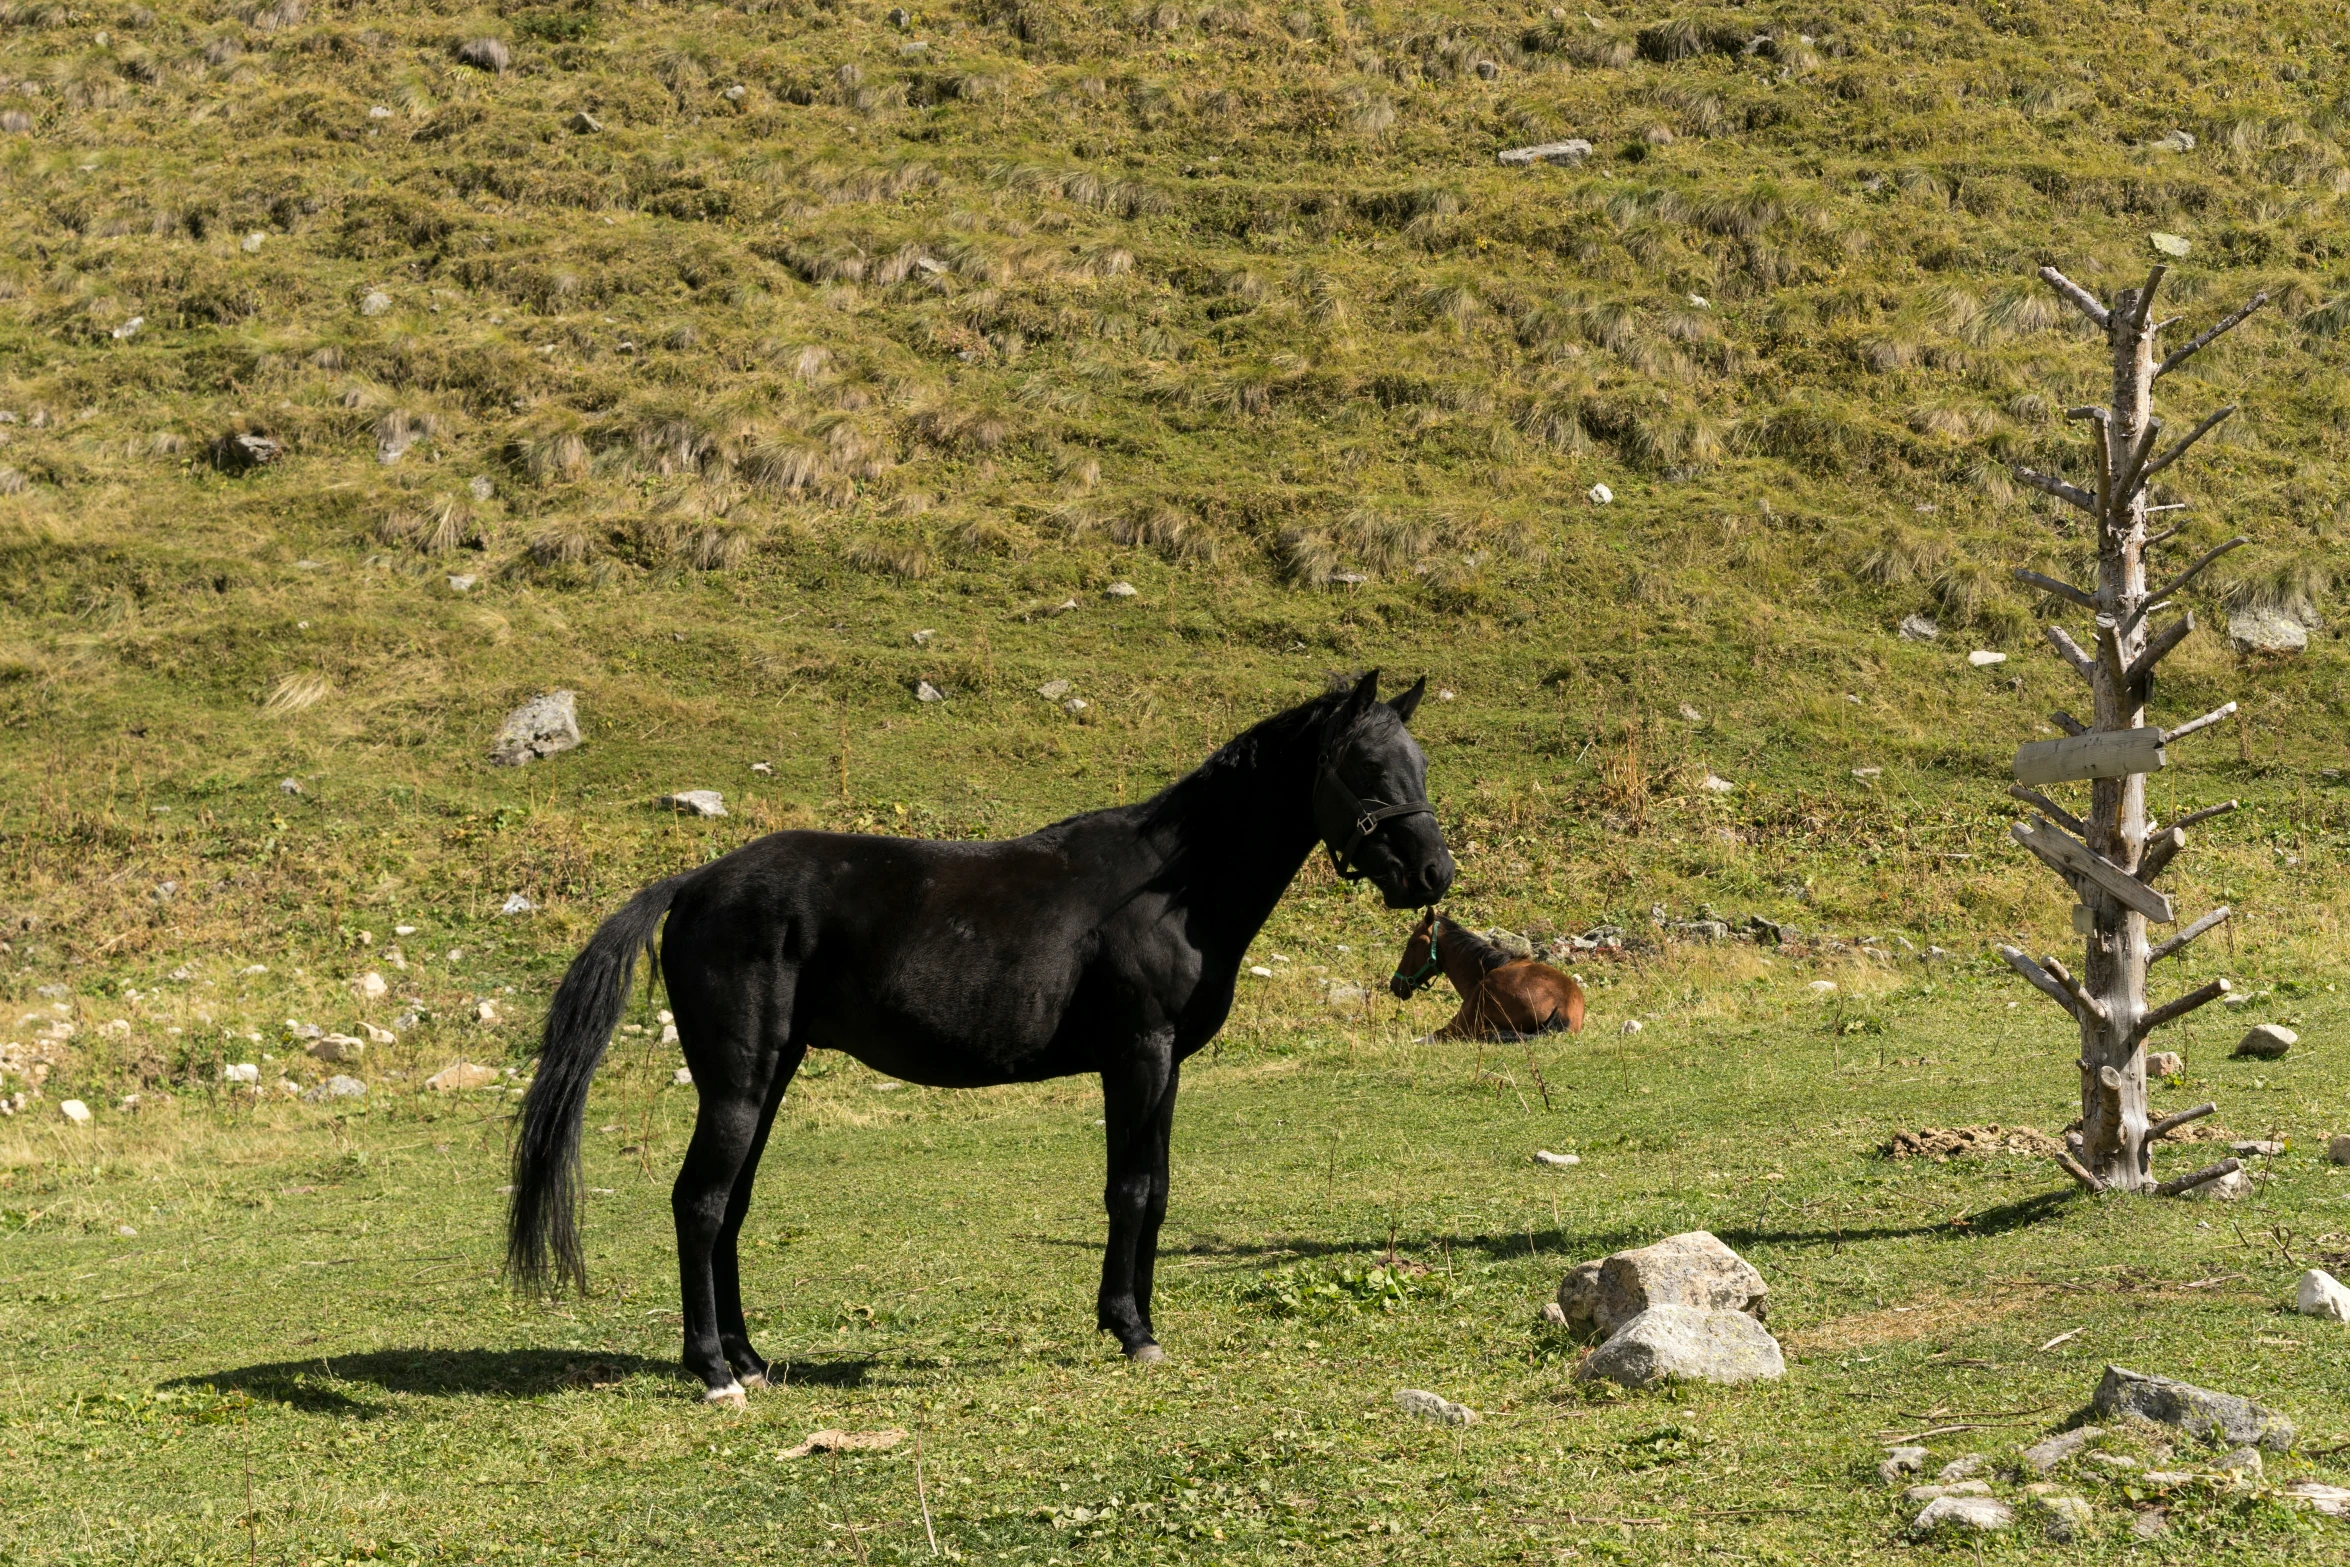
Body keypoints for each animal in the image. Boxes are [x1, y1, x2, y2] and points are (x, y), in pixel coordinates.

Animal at [514, 667, 1447, 1400]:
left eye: (1420, 764)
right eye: (1365, 767)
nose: (1435, 873)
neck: (1168, 890)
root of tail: (694, 883)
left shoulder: (1167, 1066)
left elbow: (1158, 1187)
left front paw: (1141, 1320)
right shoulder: (1137, 1056)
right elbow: (1129, 1189)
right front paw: (1130, 1328)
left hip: (769, 1077)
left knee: (731, 1205)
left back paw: (750, 1359)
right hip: (738, 1084)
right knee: (700, 1204)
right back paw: (712, 1370)